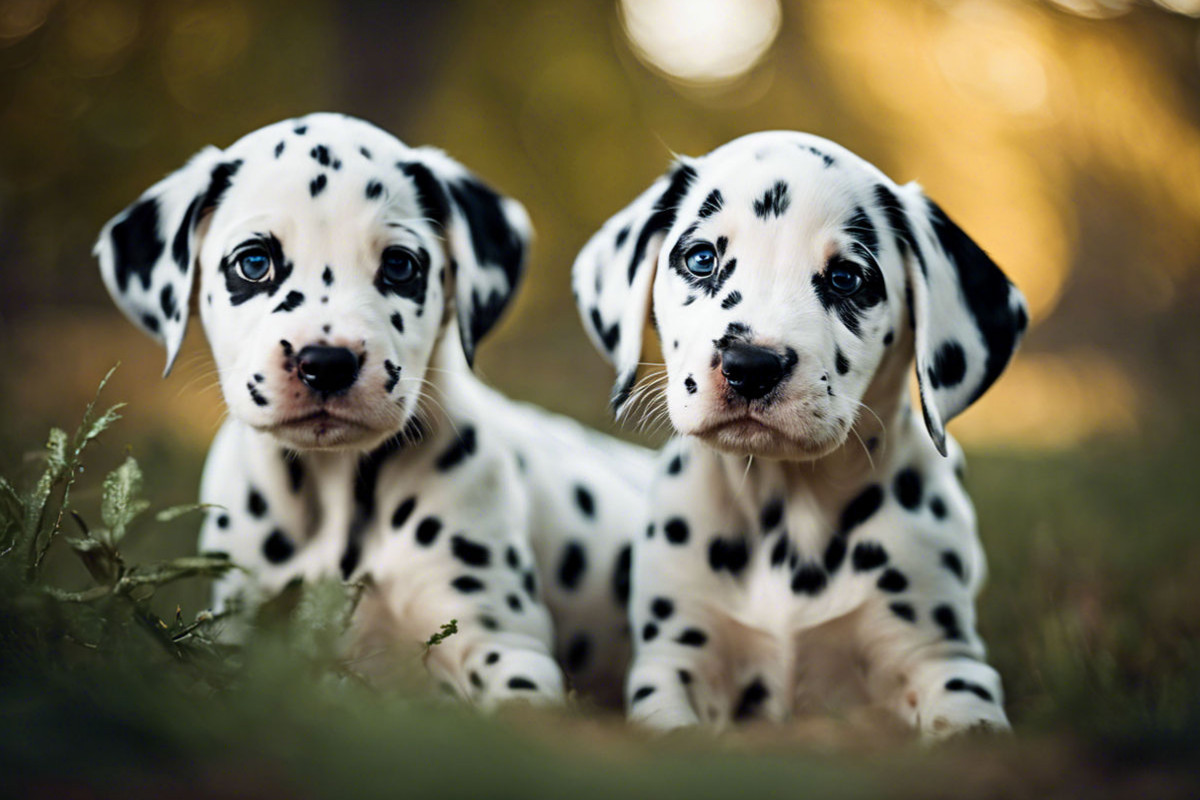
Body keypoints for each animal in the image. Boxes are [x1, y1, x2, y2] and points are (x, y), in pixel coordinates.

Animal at [576, 131, 1027, 738]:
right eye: (701, 259)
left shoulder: (942, 658)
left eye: (847, 278)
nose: (750, 365)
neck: (789, 514)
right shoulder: (674, 659)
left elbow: (968, 719)